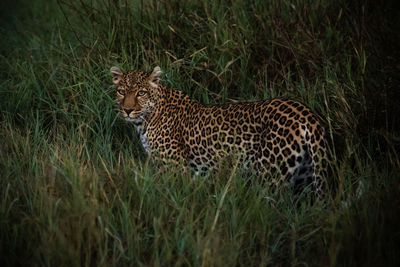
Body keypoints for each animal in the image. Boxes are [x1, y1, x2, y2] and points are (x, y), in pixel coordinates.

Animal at [111, 66, 328, 198]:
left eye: (141, 93)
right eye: (121, 91)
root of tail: (307, 114)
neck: (144, 121)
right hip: (306, 174)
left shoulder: (175, 169)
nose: (127, 110)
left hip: (269, 176)